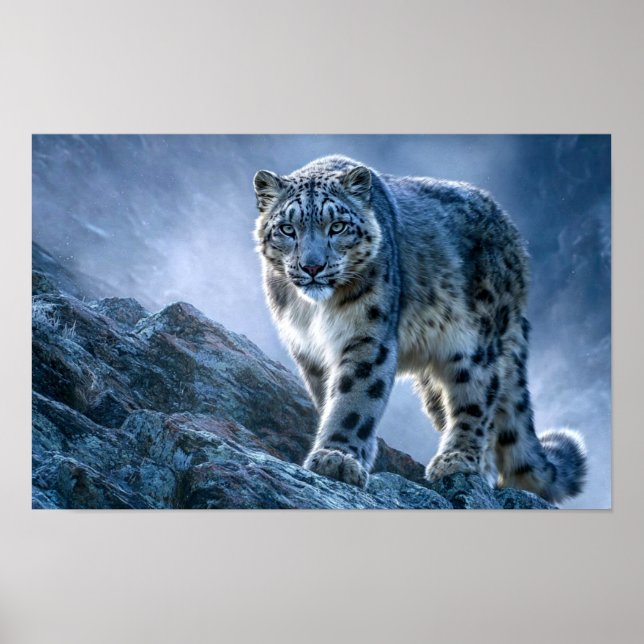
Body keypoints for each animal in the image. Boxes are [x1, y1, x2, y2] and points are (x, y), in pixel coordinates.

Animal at [253, 154, 587, 503]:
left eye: (338, 226)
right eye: (287, 229)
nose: (312, 267)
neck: (316, 312)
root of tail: (516, 242)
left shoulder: (367, 337)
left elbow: (354, 400)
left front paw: (338, 459)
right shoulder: (308, 351)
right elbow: (329, 397)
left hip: (475, 344)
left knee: (477, 400)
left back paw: (458, 461)